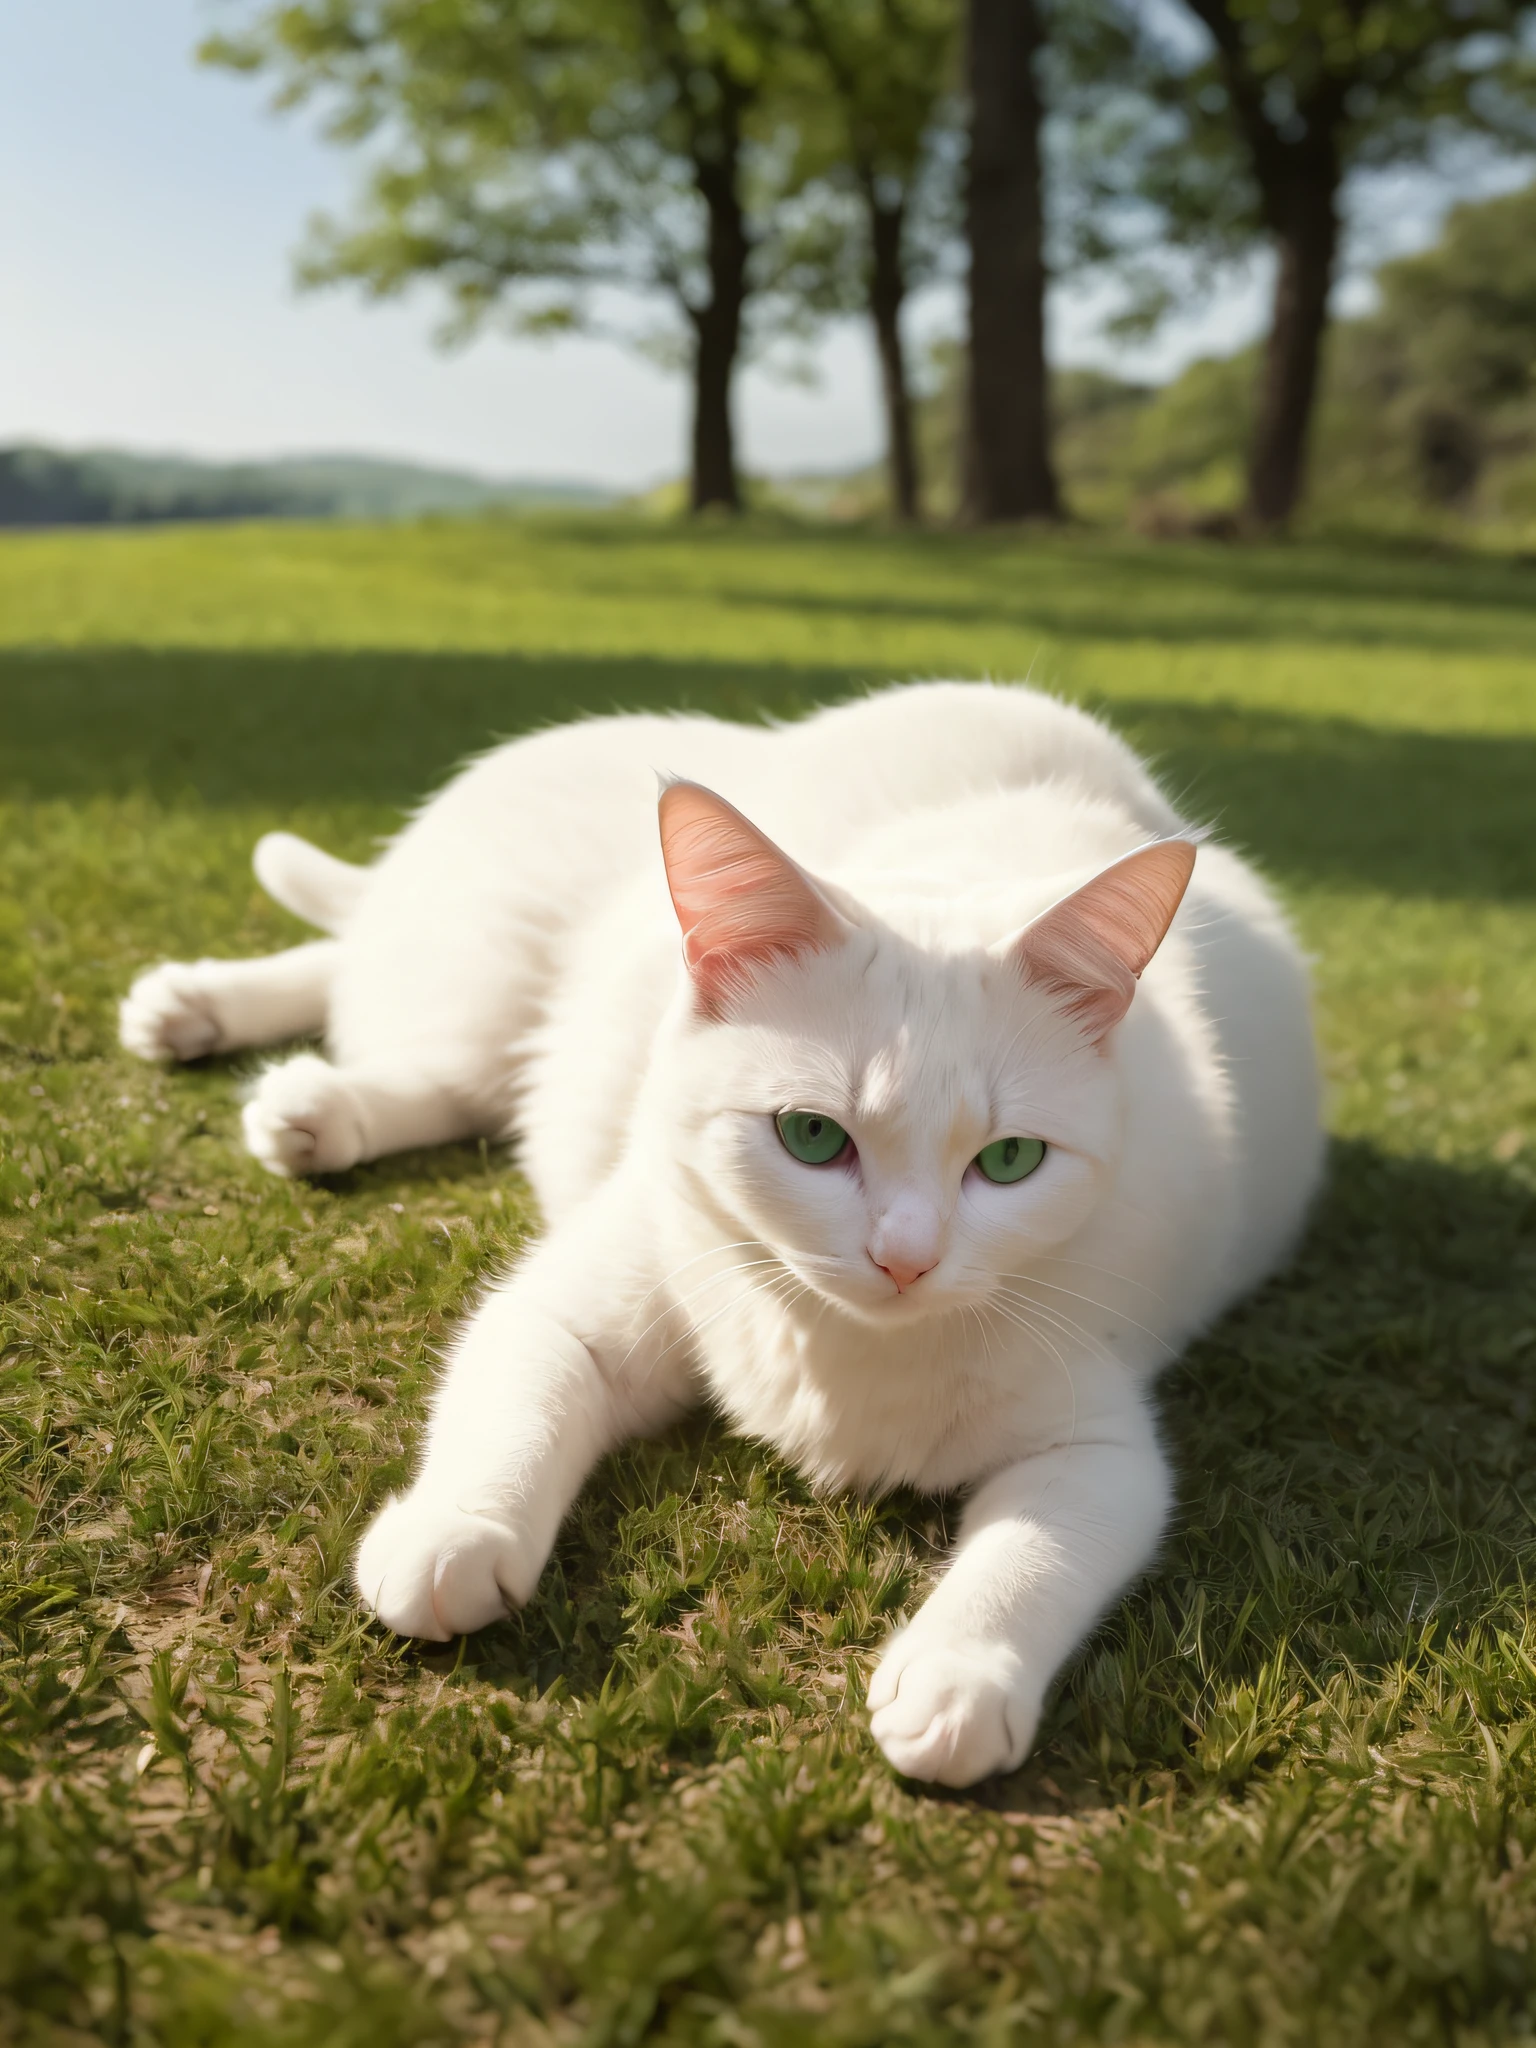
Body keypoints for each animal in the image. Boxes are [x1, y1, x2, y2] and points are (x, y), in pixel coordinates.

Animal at [123, 684, 1327, 1777]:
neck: (840, 1353)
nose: (904, 1258)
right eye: (811, 1135)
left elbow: (1040, 1548)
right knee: (384, 992)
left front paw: (958, 1676)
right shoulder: (578, 1295)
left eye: (1010, 1162)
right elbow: (514, 1399)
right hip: (483, 983)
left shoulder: (1098, 1439)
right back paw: (217, 1022)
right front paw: (454, 1528)